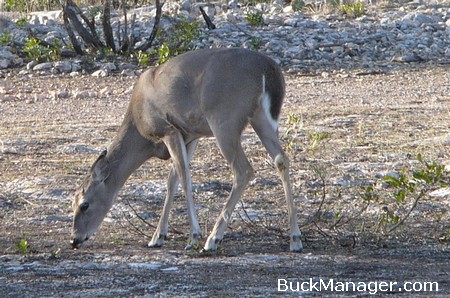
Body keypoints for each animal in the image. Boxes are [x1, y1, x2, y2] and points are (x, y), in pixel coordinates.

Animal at [70, 47, 302, 251]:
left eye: (84, 204)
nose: (74, 239)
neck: (139, 125)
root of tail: (268, 68)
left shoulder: (168, 130)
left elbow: (184, 178)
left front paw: (193, 236)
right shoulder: (190, 135)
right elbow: (171, 180)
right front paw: (157, 237)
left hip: (224, 120)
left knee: (243, 170)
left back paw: (213, 239)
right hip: (260, 117)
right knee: (281, 159)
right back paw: (295, 238)